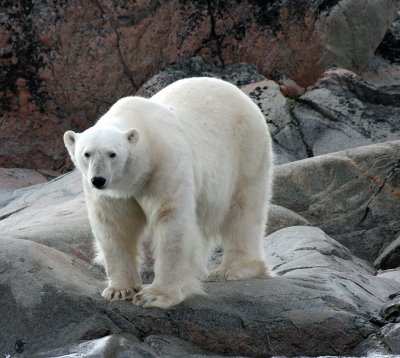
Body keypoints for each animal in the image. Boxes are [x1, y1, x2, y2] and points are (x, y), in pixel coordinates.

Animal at [64, 77, 274, 310]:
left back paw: (232, 270)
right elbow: (114, 226)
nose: (98, 180)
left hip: (246, 150)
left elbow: (170, 220)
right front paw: (120, 290)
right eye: (87, 154)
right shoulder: (112, 193)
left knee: (243, 209)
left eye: (113, 154)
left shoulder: (165, 164)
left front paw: (154, 296)